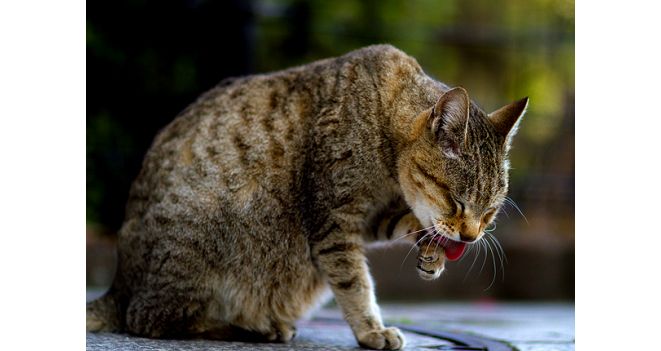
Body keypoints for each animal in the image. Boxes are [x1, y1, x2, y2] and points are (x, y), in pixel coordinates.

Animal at [86, 44, 524, 350]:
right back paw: (256, 328)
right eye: (456, 202)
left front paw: (431, 252)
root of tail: (117, 287)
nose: (469, 237)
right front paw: (372, 330)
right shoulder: (333, 222)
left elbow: (403, 222)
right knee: (150, 320)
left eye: (489, 213)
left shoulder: (367, 218)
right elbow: (355, 283)